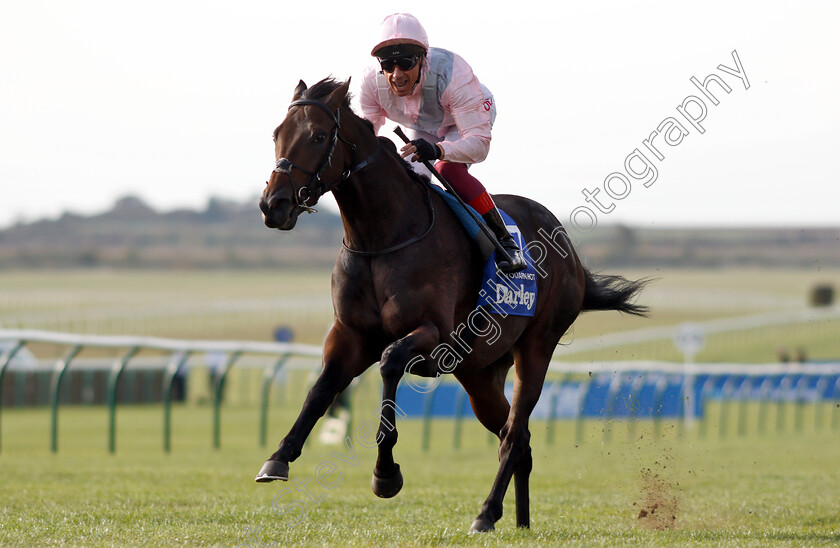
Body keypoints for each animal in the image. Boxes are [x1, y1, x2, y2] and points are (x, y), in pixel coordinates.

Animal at [253, 77, 648, 532]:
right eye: (277, 134)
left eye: (318, 136)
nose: (273, 205)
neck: (383, 236)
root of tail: (565, 243)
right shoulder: (350, 335)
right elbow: (319, 391)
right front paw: (278, 458)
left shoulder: (433, 334)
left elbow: (389, 362)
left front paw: (385, 473)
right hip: (479, 373)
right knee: (518, 438)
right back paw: (520, 522)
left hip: (536, 347)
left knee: (515, 436)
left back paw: (486, 513)